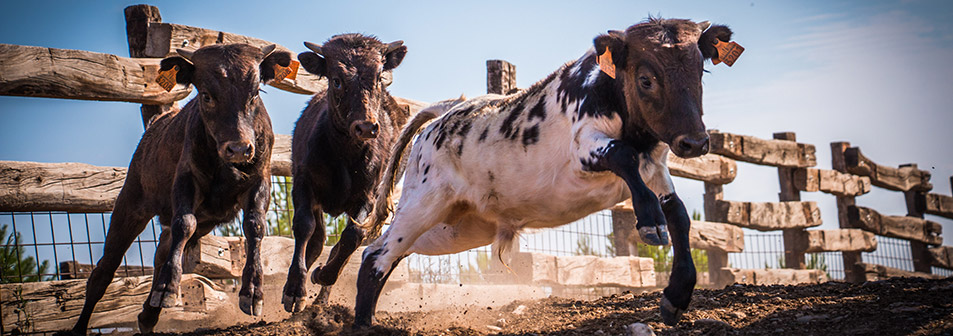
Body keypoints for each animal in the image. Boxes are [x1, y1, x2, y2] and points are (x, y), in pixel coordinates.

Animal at [62, 44, 290, 334]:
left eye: (255, 94)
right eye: (206, 95)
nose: (239, 148)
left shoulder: (259, 182)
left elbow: (255, 227)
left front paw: (252, 292)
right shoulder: (186, 180)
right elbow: (185, 222)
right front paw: (169, 289)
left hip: (203, 219)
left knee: (163, 252)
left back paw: (149, 314)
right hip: (130, 205)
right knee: (104, 271)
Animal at [278, 34, 408, 312]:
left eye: (379, 77)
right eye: (336, 79)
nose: (366, 127)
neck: (345, 154)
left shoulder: (369, 196)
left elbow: (352, 236)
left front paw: (323, 274)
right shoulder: (304, 183)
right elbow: (304, 227)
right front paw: (294, 290)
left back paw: (320, 297)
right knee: (316, 241)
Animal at [354, 19, 732, 328]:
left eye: (700, 73)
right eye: (646, 79)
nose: (695, 142)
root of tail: (445, 113)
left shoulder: (655, 166)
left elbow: (678, 213)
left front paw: (676, 295)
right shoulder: (585, 149)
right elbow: (623, 156)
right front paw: (650, 222)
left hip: (455, 227)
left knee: (386, 250)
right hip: (424, 203)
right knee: (376, 254)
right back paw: (359, 322)